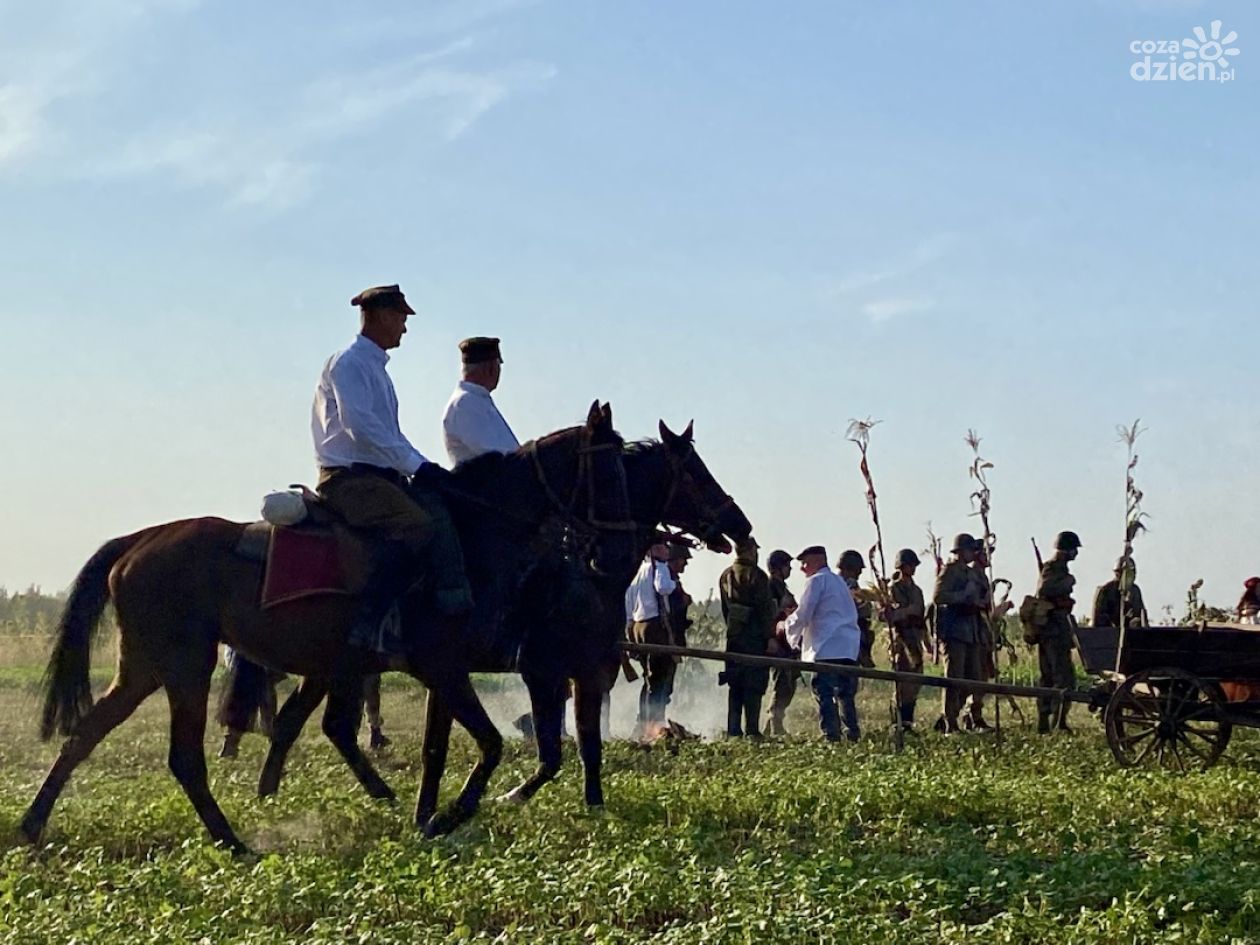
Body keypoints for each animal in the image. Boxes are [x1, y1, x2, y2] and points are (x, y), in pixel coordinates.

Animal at [19, 403, 630, 856]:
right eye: (610, 466)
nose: (612, 550)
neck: (473, 531)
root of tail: (140, 540)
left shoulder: (440, 670)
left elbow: (451, 744)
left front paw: (432, 814)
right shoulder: (445, 665)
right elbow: (489, 743)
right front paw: (448, 815)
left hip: (148, 666)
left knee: (88, 732)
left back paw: (33, 826)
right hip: (186, 664)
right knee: (184, 756)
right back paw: (234, 841)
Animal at [226, 420, 745, 821]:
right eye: (695, 473)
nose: (741, 526)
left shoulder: (582, 670)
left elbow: (585, 745)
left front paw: (592, 804)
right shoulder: (544, 669)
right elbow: (553, 750)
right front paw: (504, 796)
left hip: (332, 667)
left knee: (305, 722)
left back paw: (279, 796)